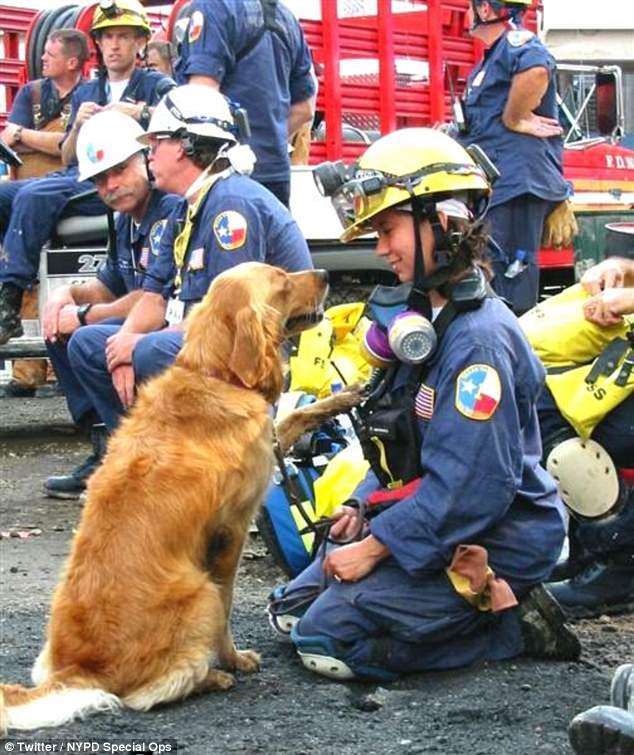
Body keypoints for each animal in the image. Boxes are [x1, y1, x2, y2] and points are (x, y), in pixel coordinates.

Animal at [0, 262, 326, 732]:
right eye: (283, 282)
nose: (325, 273)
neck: (213, 374)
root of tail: (79, 670)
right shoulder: (231, 532)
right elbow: (228, 604)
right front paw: (234, 659)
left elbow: (296, 415)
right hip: (199, 593)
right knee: (148, 694)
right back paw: (212, 677)